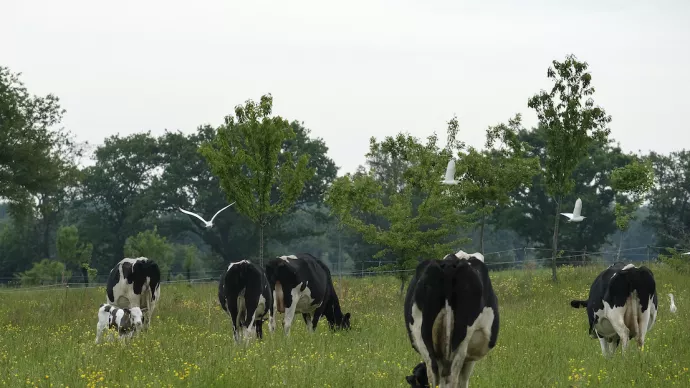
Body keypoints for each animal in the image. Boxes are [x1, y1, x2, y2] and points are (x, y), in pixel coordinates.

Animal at [400, 252, 498, 388]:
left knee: (433, 374)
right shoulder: (470, 357)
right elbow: (463, 380)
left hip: (422, 334)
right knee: (451, 378)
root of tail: (448, 265)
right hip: (461, 340)